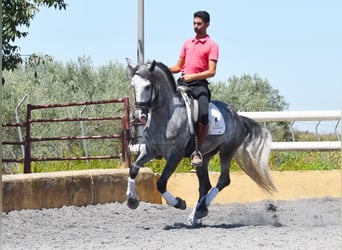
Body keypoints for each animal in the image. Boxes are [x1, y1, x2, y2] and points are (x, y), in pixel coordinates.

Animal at [124, 58, 276, 225]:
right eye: (132, 85)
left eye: (148, 86)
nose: (139, 116)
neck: (166, 117)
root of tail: (238, 117)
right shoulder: (150, 150)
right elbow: (133, 168)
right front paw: (132, 200)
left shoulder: (175, 155)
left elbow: (161, 183)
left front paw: (179, 203)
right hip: (205, 156)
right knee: (205, 185)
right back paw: (196, 215)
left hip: (227, 151)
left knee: (223, 180)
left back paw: (202, 207)